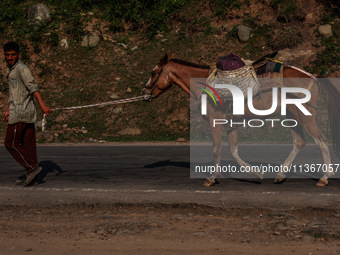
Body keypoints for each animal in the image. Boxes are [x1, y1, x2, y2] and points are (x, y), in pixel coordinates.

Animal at [142, 53, 340, 187]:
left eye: (153, 72)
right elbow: (233, 151)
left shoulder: (215, 121)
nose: (144, 92)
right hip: (291, 116)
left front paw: (212, 178)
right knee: (299, 142)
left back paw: (324, 177)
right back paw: (280, 175)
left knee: (321, 140)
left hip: (305, 115)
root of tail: (314, 77)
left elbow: (217, 149)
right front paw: (256, 173)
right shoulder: (231, 123)